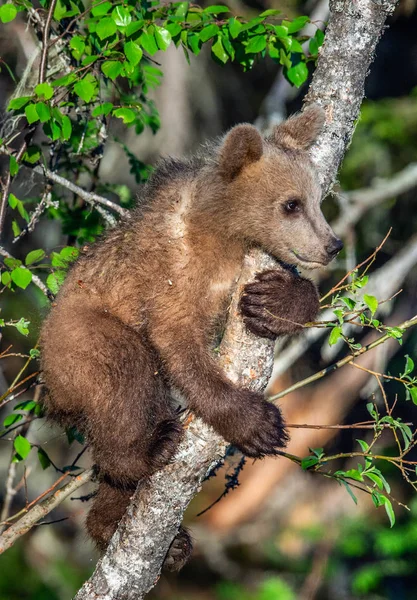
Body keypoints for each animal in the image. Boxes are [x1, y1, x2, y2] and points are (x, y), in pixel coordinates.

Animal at [40, 105, 342, 568]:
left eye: (315, 199)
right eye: (290, 204)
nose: (332, 245)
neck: (220, 230)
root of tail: (51, 391)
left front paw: (275, 301)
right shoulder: (172, 274)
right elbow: (178, 343)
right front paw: (258, 423)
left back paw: (129, 529)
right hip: (80, 340)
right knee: (126, 374)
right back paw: (145, 453)